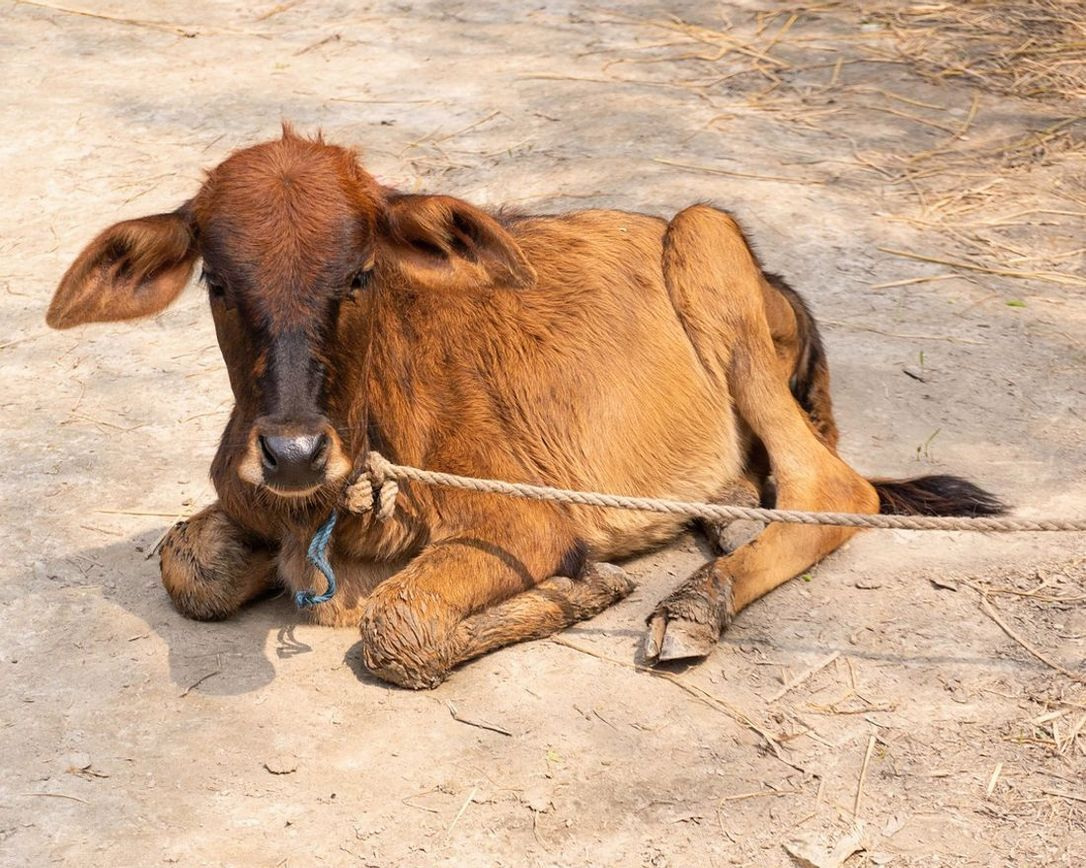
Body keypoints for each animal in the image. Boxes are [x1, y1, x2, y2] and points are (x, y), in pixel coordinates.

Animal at [46, 127, 1003, 689]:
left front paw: (590, 584)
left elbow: (398, 626)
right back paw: (723, 512)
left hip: (705, 238)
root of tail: (781, 289)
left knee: (835, 488)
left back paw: (696, 602)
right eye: (215, 279)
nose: (291, 452)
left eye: (360, 273)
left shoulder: (522, 521)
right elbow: (186, 566)